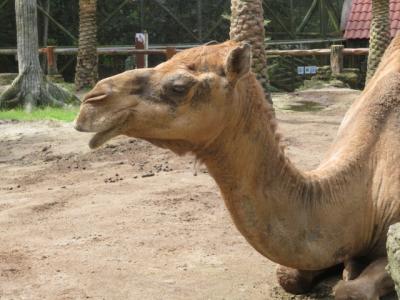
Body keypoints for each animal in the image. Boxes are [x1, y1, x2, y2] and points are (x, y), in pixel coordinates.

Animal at [74, 38, 400, 300]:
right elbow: (287, 274)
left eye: (178, 87)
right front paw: (342, 269)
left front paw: (348, 275)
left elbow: (351, 290)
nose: (92, 101)